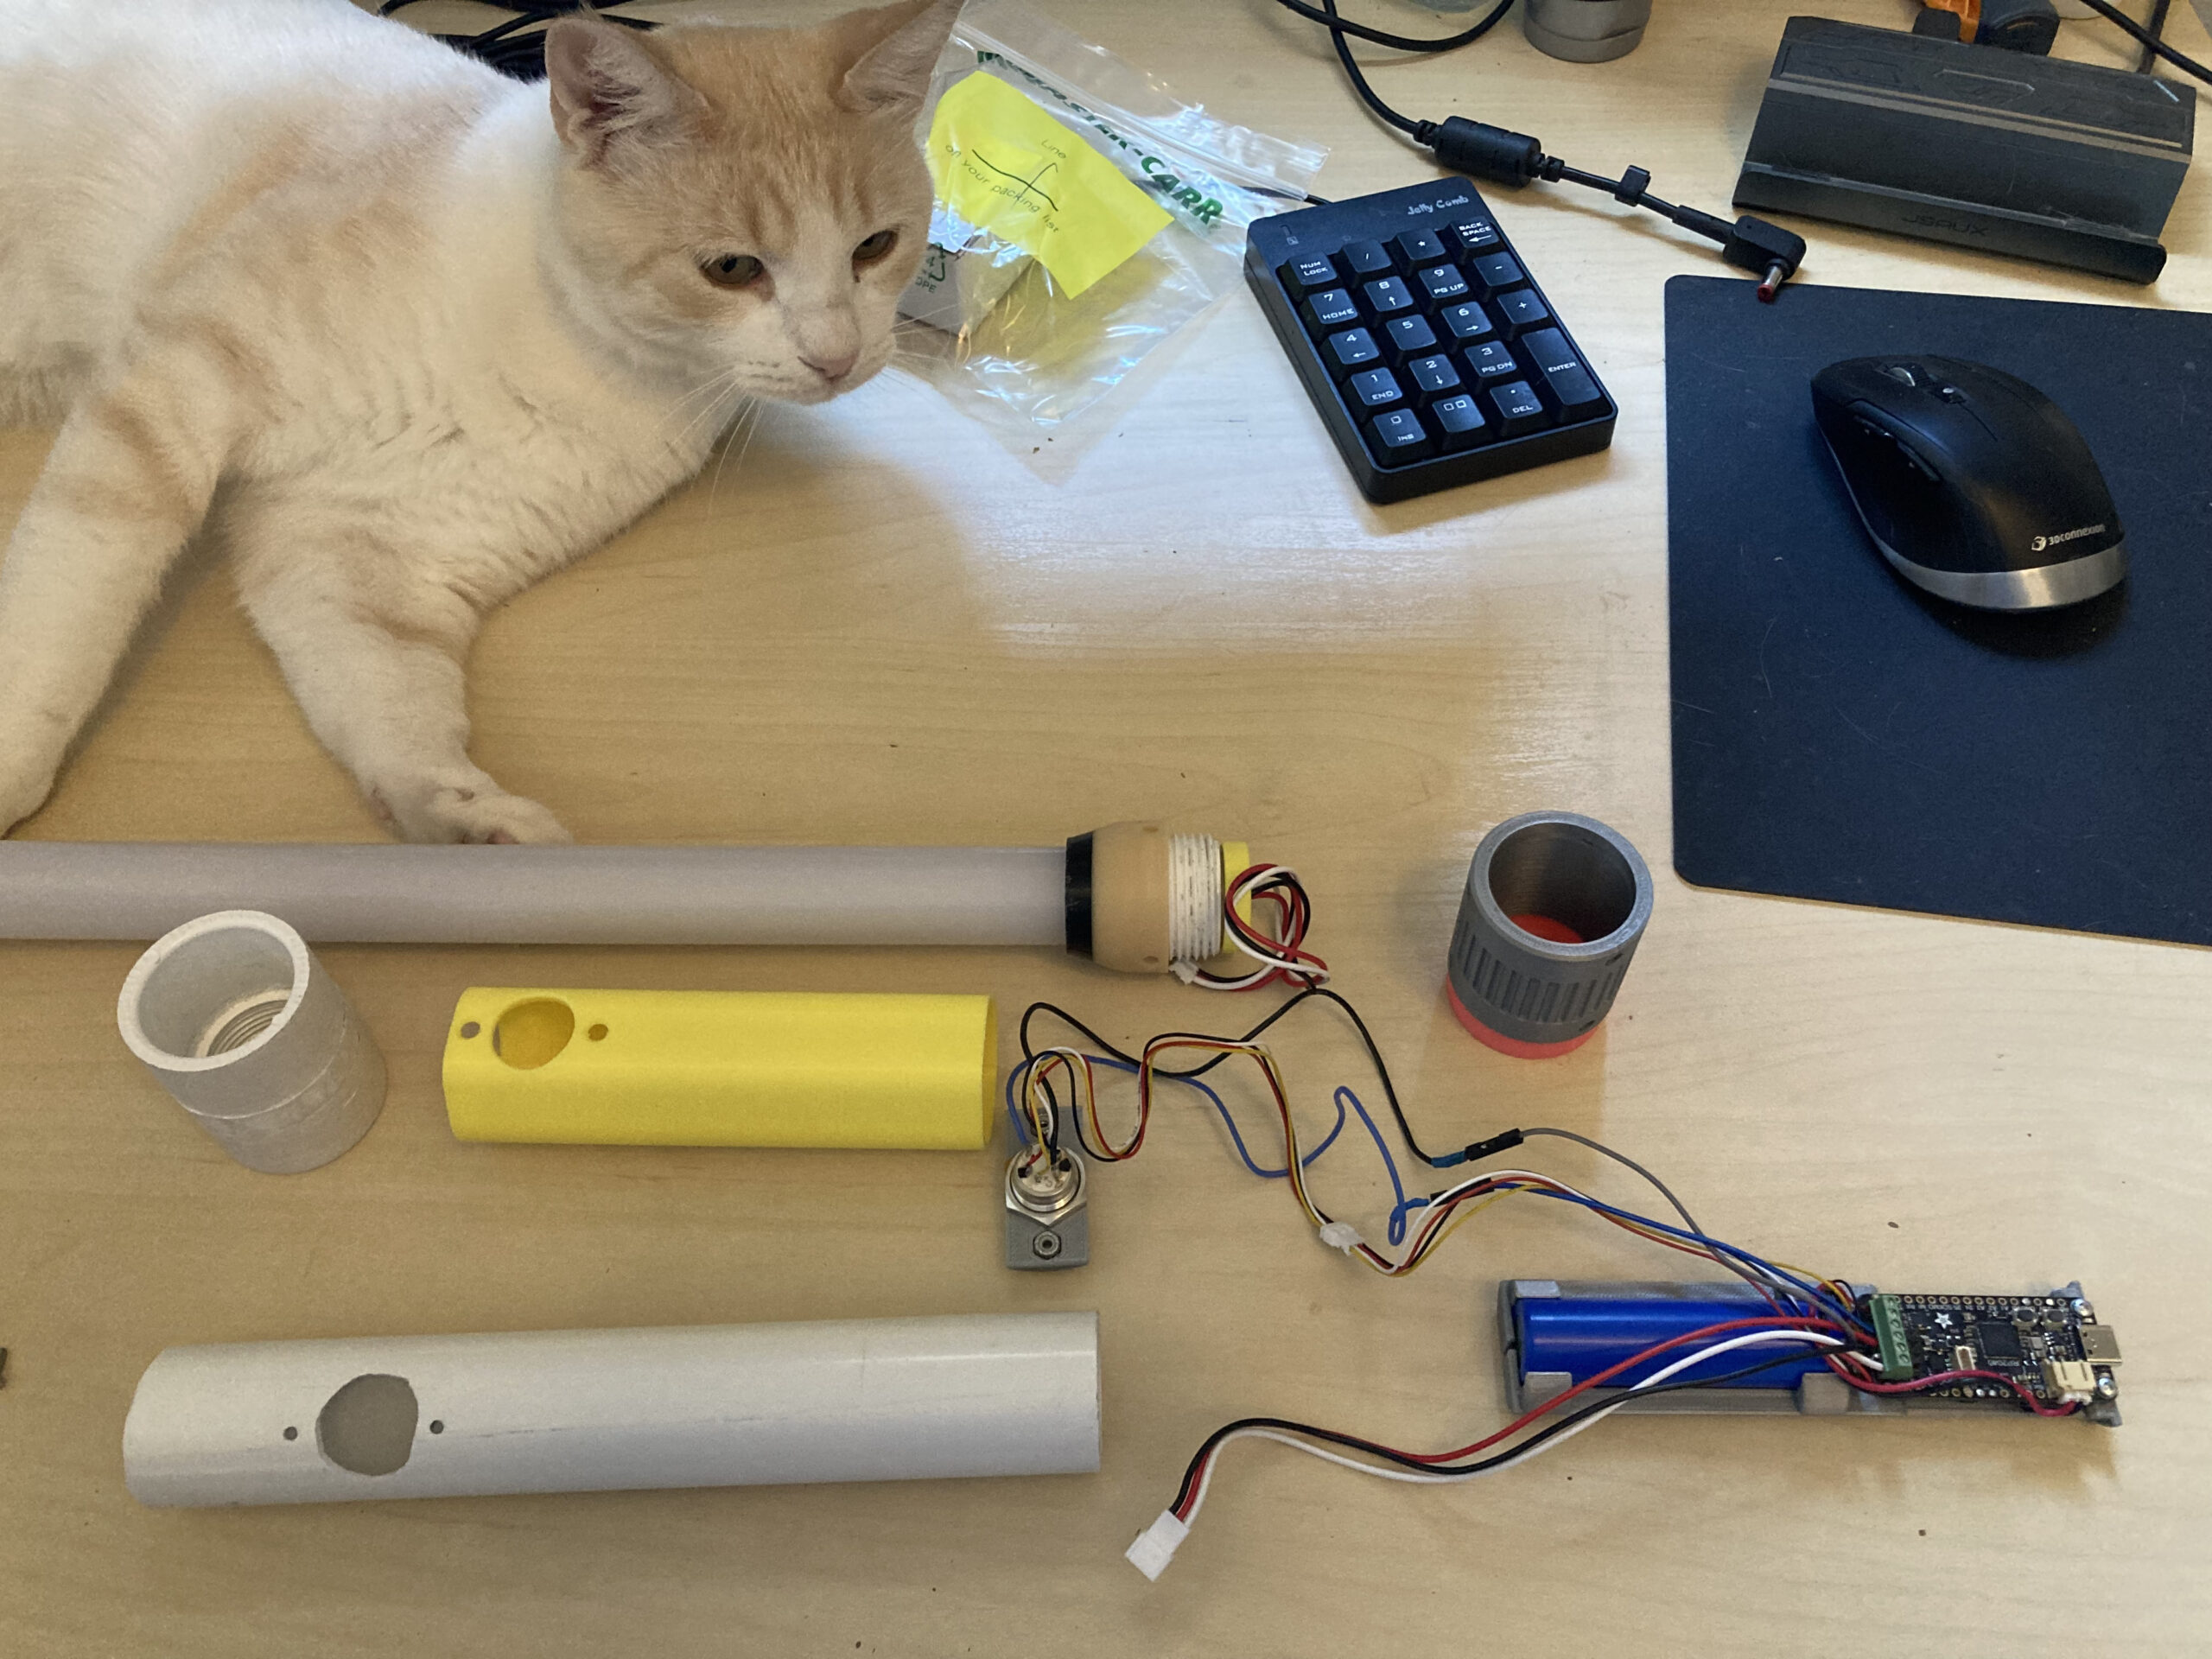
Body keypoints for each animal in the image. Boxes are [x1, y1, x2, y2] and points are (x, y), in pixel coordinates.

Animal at [0, 0, 957, 843]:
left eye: (875, 247)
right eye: (731, 269)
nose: (838, 357)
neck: (555, 347)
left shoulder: (364, 553)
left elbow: (392, 701)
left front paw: (461, 814)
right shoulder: (172, 394)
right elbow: (64, 614)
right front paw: (12, 766)